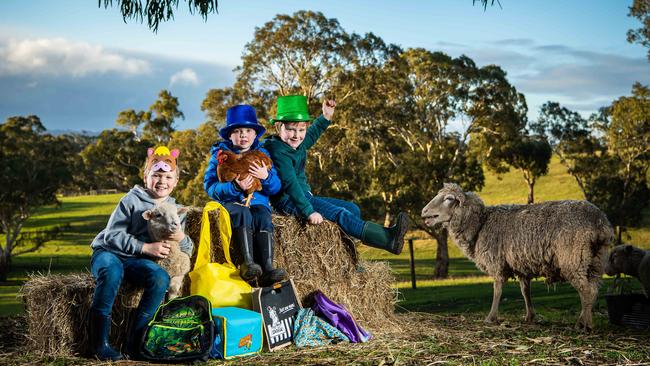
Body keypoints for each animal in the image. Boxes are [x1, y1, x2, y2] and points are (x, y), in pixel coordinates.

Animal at [420, 183, 612, 328]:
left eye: (449, 199)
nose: (423, 212)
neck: (480, 224)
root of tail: (599, 221)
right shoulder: (520, 265)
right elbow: (525, 291)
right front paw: (530, 316)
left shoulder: (496, 262)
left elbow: (497, 290)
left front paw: (491, 317)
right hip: (596, 259)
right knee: (594, 289)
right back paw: (585, 320)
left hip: (574, 258)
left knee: (586, 290)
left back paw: (584, 324)